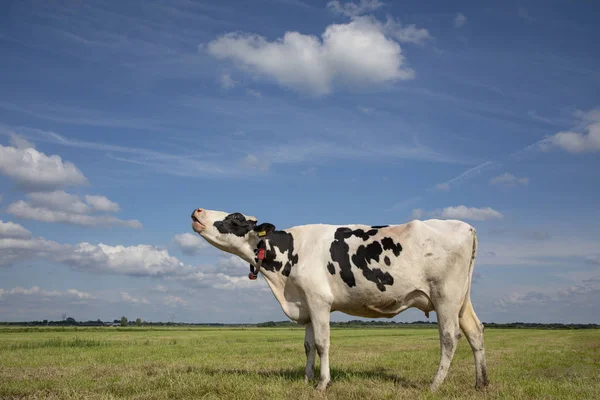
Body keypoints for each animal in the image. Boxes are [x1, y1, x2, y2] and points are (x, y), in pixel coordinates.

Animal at [191, 206, 488, 390]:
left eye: (235, 218)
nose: (197, 210)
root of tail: (465, 225)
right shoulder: (305, 303)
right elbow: (308, 346)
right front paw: (306, 379)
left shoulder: (319, 299)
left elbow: (322, 344)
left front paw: (323, 383)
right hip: (462, 298)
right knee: (475, 331)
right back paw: (481, 383)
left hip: (445, 295)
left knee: (449, 337)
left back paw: (435, 385)